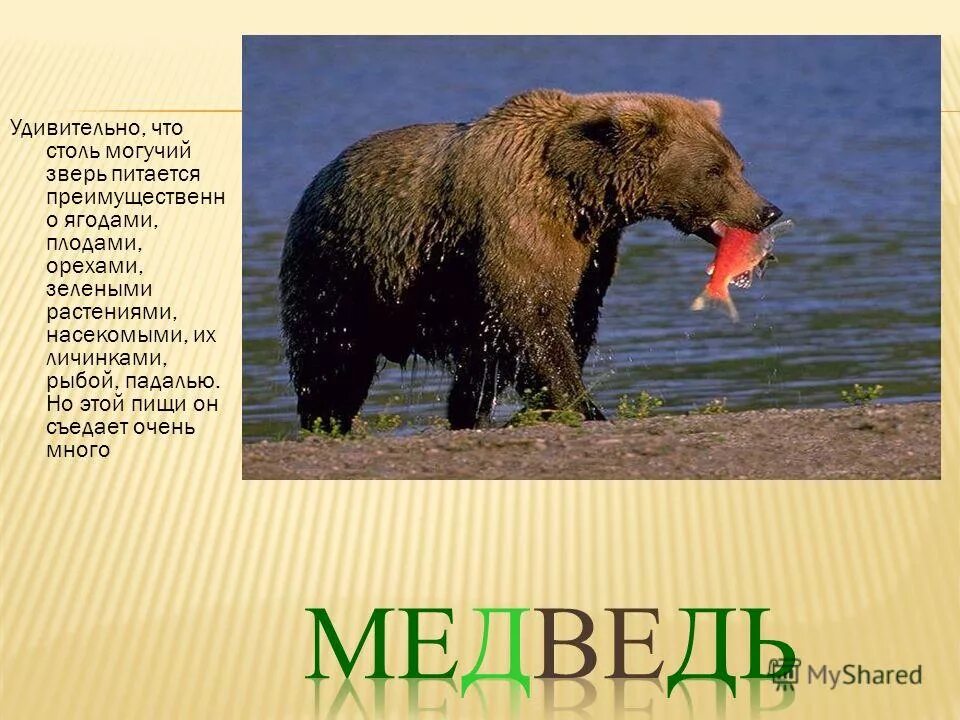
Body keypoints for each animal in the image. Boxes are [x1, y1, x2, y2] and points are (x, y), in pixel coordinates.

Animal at [279, 89, 781, 432]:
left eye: (739, 165)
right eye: (715, 170)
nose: (767, 210)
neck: (582, 191)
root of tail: (318, 178)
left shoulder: (591, 248)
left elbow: (571, 315)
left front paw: (542, 406)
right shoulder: (519, 220)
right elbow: (533, 315)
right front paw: (583, 406)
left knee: (473, 367)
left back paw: (467, 416)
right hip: (342, 270)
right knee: (331, 359)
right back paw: (327, 422)